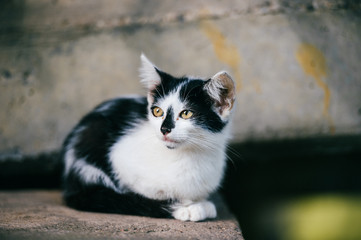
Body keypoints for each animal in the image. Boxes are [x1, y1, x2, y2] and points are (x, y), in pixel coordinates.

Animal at [61, 54, 236, 221]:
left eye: (186, 113)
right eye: (157, 111)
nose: (164, 129)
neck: (189, 155)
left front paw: (199, 203)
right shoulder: (120, 159)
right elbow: (143, 195)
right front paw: (186, 206)